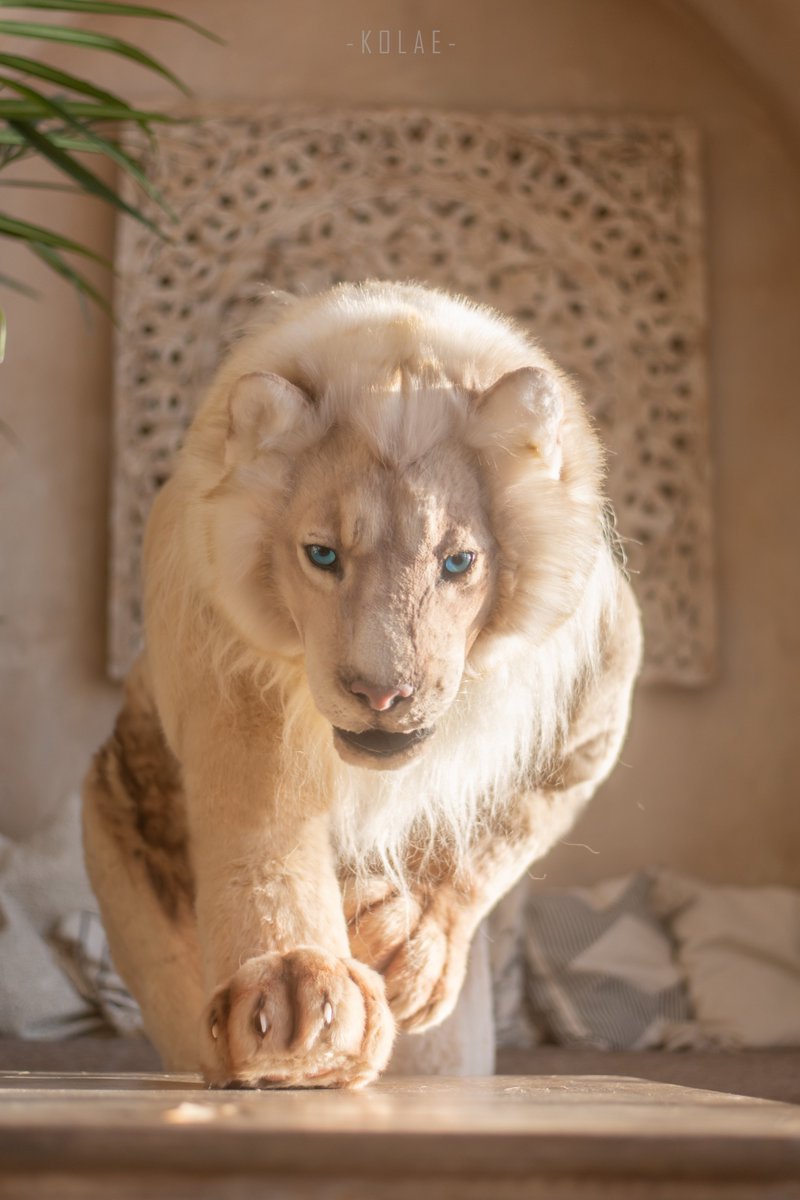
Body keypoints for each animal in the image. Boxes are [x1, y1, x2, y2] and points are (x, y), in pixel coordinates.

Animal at [83, 280, 641, 1088]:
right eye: (322, 555)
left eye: (457, 562)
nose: (381, 696)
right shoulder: (232, 680)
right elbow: (265, 848)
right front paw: (296, 990)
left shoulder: (599, 694)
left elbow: (508, 828)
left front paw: (411, 943)